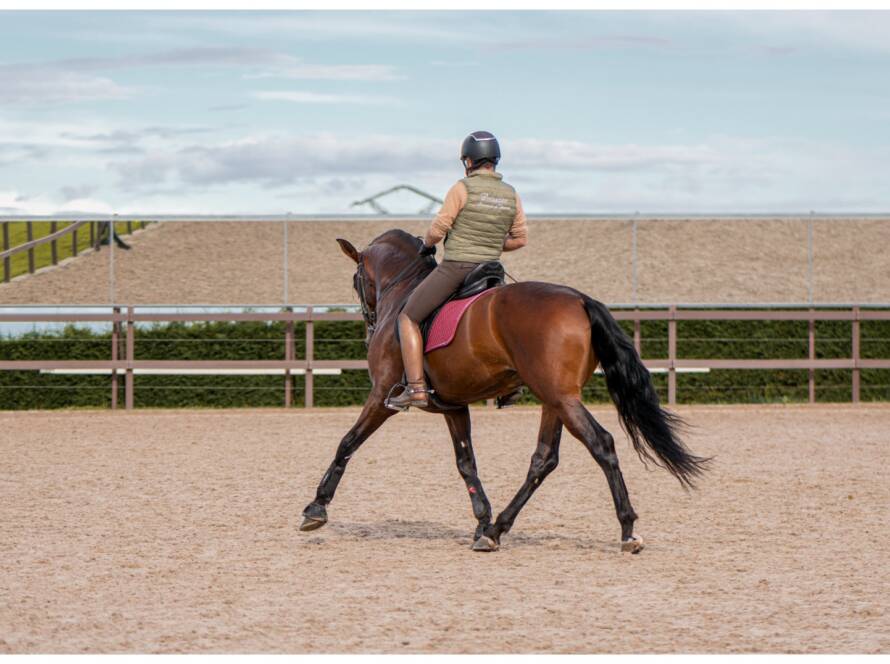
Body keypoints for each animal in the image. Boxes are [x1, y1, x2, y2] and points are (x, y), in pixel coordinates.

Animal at [299, 229, 709, 552]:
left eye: (356, 280)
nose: (368, 325)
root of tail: (578, 299)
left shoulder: (382, 395)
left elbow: (348, 442)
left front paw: (316, 508)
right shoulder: (453, 407)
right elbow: (467, 464)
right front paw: (482, 520)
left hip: (562, 399)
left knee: (601, 444)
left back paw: (627, 530)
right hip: (554, 400)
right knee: (543, 459)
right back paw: (496, 530)